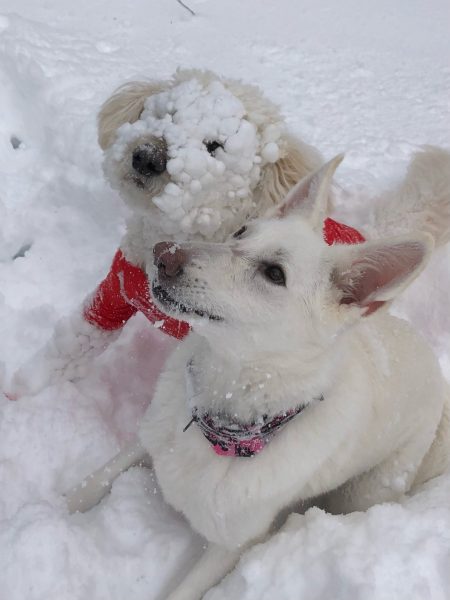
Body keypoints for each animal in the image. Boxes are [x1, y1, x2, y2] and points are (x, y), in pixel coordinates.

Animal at [67, 158, 450, 600]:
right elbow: (95, 481)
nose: (163, 254)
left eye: (273, 273)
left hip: (368, 489)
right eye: (240, 233)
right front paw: (49, 509)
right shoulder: (148, 438)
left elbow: (184, 590)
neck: (224, 419)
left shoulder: (230, 546)